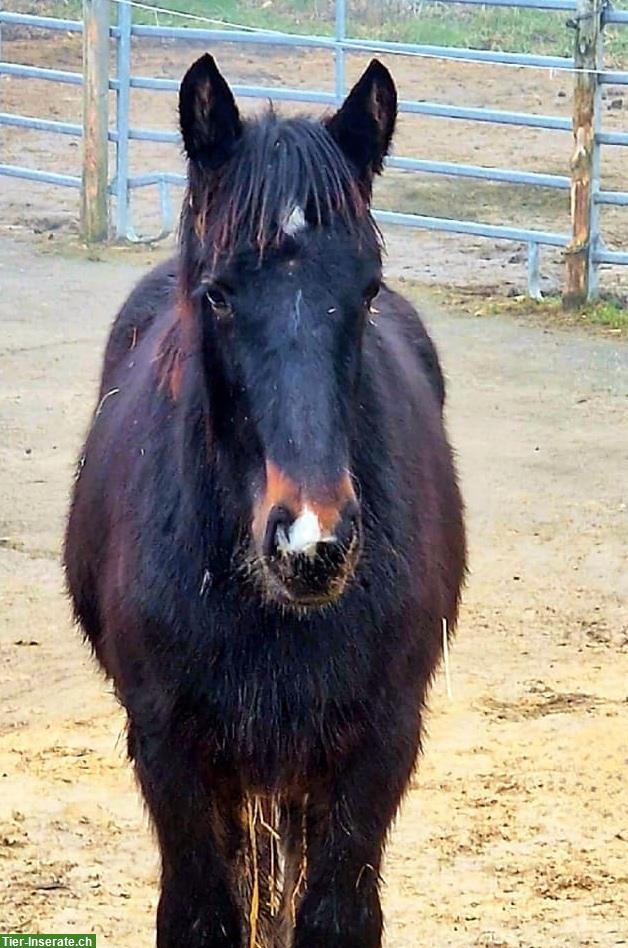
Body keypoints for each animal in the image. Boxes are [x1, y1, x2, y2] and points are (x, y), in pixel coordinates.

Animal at [63, 53, 466, 948]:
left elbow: (336, 917)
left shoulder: (379, 748)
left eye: (368, 289)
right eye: (216, 294)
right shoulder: (169, 752)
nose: (312, 543)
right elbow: (203, 917)